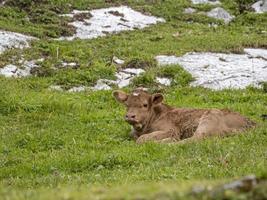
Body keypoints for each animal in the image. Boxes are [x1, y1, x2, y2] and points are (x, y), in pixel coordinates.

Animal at [112, 88, 255, 145]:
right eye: (127, 105)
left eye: (145, 105)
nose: (130, 116)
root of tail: (251, 124)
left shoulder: (171, 129)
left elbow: (141, 139)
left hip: (209, 119)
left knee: (192, 140)